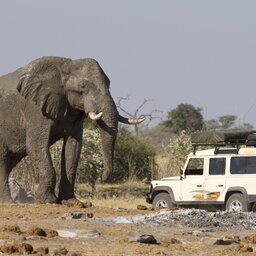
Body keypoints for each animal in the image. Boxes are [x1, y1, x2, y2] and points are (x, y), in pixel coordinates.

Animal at [0, 56, 144, 204]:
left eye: (109, 84)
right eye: (83, 86)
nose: (103, 178)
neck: (65, 66)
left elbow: (73, 147)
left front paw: (71, 201)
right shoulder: (35, 108)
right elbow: (35, 145)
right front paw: (48, 200)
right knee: (3, 159)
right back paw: (7, 202)